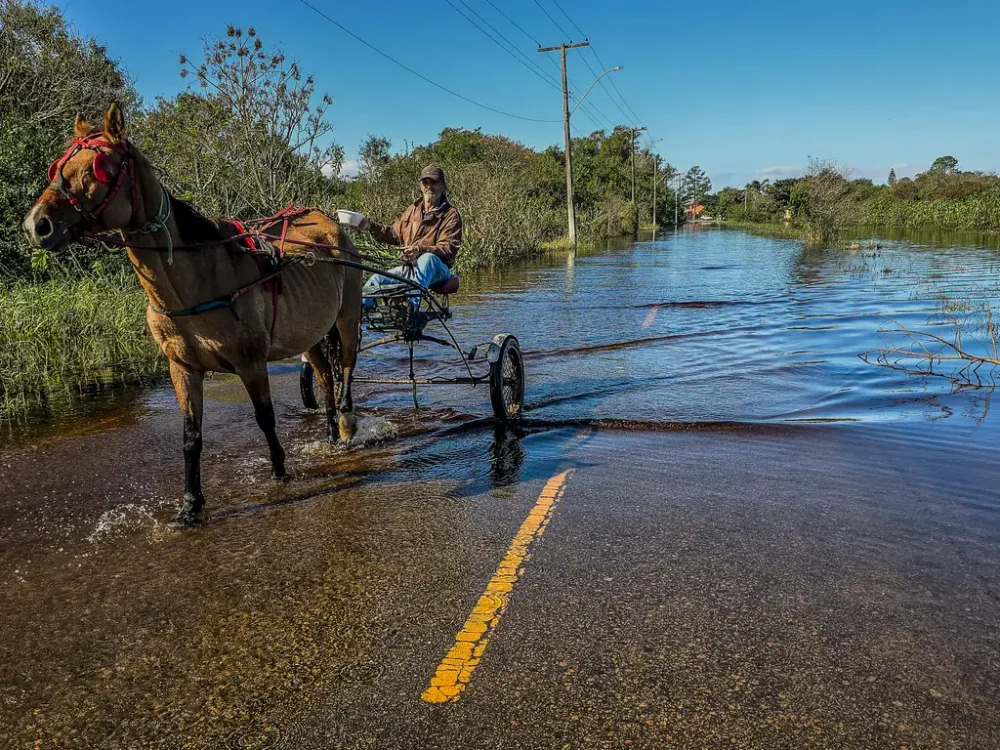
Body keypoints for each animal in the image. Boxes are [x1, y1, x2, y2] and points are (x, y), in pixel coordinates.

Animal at [22, 104, 364, 528]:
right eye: (56, 167)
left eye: (96, 168)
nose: (36, 225)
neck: (198, 280)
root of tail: (329, 225)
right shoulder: (182, 367)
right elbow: (191, 438)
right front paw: (190, 504)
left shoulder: (251, 362)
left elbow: (265, 418)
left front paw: (280, 472)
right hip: (311, 333)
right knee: (325, 379)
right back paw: (331, 436)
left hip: (347, 317)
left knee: (346, 368)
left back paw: (347, 424)